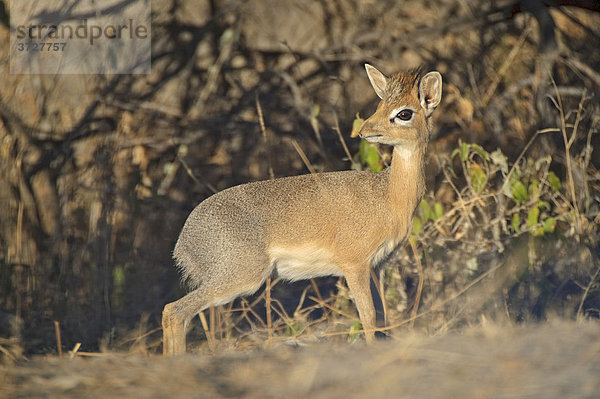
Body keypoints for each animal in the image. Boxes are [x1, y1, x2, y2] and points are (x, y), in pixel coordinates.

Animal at [162, 64, 442, 354]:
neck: (388, 197)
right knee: (174, 311)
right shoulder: (354, 264)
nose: (364, 130)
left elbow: (382, 318)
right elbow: (368, 318)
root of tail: (184, 242)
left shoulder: (377, 266)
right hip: (240, 277)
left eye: (404, 113)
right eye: (380, 104)